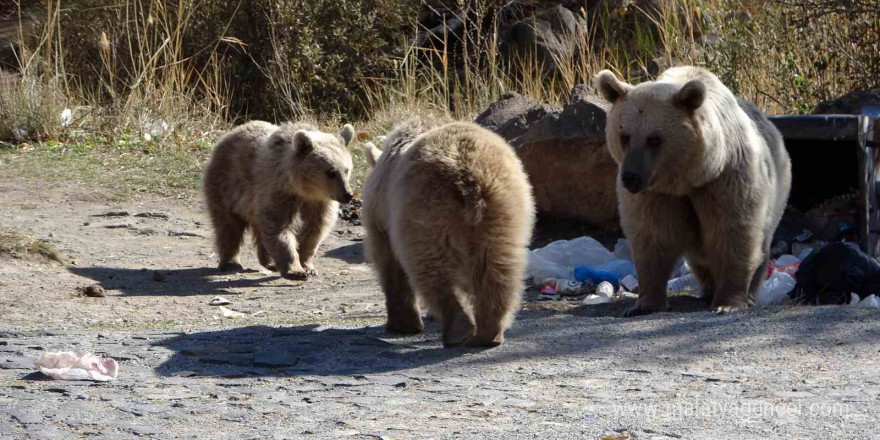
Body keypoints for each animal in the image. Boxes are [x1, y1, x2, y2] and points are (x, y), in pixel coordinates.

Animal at [205, 120, 356, 278]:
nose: (348, 194)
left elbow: (314, 228)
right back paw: (231, 263)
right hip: (226, 184)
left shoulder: (319, 202)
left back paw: (270, 262)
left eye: (346, 170)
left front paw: (308, 267)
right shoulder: (278, 191)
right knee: (228, 225)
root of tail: (228, 135)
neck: (303, 189)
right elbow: (278, 226)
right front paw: (296, 271)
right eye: (331, 172)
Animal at [360, 118, 536, 346]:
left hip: (426, 209)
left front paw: (401, 324)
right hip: (504, 209)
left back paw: (458, 328)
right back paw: (489, 332)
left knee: (432, 267)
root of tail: (470, 179)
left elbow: (389, 262)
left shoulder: (383, 215)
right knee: (498, 266)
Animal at [596, 65, 796, 314]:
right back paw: (708, 288)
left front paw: (728, 303)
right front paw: (644, 303)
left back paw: (747, 293)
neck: (688, 178)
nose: (631, 177)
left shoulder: (725, 179)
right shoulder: (655, 194)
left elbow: (732, 232)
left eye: (654, 139)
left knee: (761, 245)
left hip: (777, 192)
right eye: (624, 136)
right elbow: (652, 236)